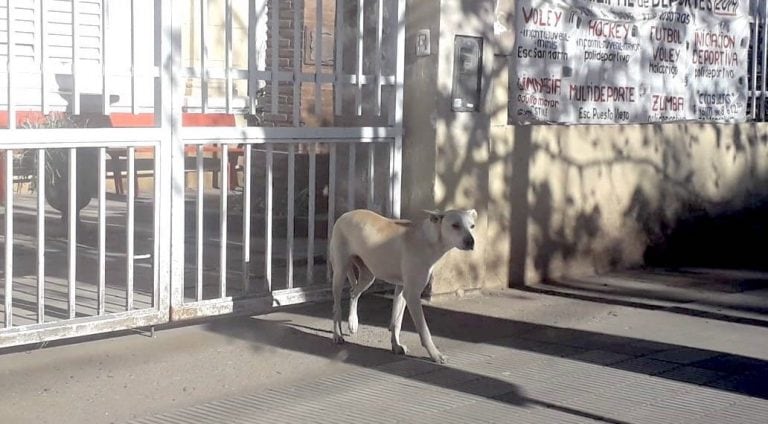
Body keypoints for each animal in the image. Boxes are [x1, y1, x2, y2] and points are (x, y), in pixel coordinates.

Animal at [328, 207, 476, 362]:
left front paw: (396, 345)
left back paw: (353, 322)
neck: (428, 240)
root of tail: (345, 215)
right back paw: (337, 334)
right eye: (455, 225)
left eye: (472, 226)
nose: (471, 242)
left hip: (368, 277)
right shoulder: (412, 294)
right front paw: (435, 354)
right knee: (337, 307)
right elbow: (424, 330)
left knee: (353, 293)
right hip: (339, 274)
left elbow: (397, 322)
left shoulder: (401, 290)